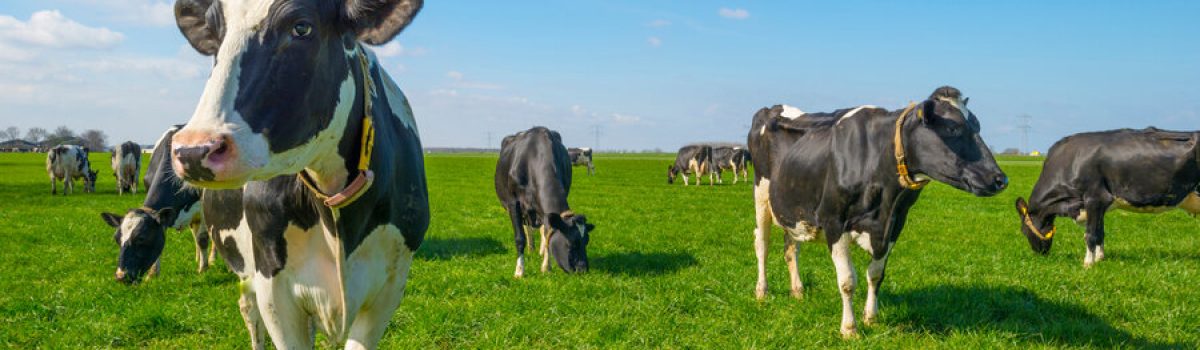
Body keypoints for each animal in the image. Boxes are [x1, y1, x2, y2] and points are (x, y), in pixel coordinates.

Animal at [99, 125, 212, 284]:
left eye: (141, 238)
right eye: (117, 239)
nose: (121, 276)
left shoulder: (202, 207)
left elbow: (202, 239)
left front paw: (203, 269)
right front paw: (152, 274)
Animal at [168, 1, 432, 347]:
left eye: (301, 27)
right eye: (215, 35)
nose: (193, 150)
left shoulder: (389, 288)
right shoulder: (274, 288)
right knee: (249, 311)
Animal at [494, 127, 592, 278]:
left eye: (586, 241)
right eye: (571, 243)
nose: (582, 270)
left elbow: (547, 232)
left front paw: (546, 267)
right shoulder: (513, 203)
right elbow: (520, 237)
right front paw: (519, 270)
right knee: (527, 228)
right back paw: (530, 248)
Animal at [744, 86, 1008, 338]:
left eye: (977, 126)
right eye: (953, 128)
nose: (1001, 179)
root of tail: (772, 107)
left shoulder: (896, 223)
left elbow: (876, 274)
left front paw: (871, 318)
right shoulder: (834, 221)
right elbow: (847, 281)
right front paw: (849, 329)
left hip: (791, 208)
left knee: (791, 248)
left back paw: (797, 291)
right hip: (761, 194)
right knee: (762, 244)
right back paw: (762, 291)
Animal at [1012, 127, 1200, 266]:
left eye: (1023, 231)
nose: (1039, 254)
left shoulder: (1095, 198)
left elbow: (1090, 234)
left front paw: (1088, 263)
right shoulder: (1101, 205)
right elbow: (1100, 232)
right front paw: (1100, 258)